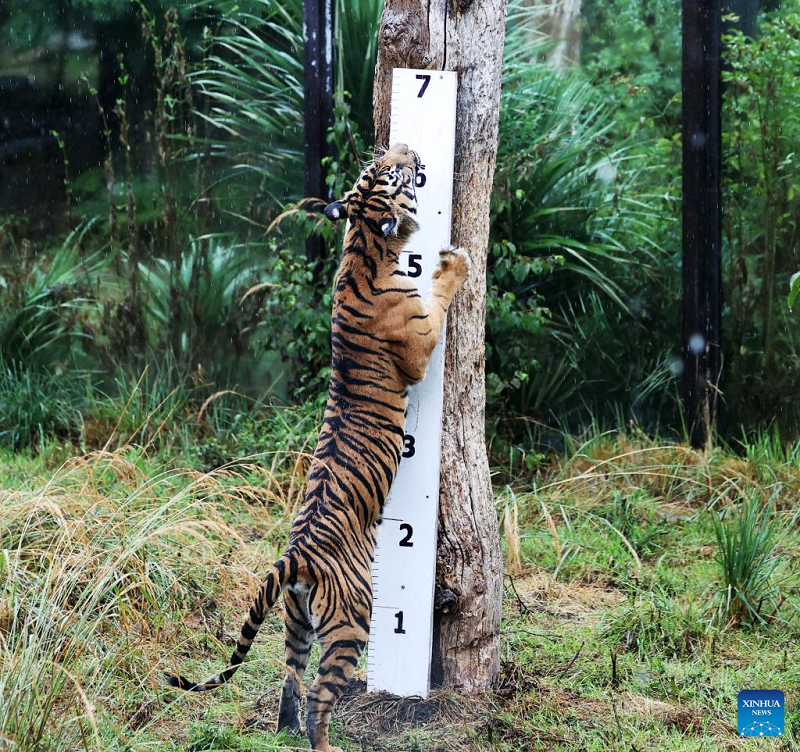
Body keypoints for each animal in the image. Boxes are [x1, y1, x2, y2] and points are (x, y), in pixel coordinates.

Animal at [166, 142, 472, 752]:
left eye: (380, 165)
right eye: (397, 172)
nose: (405, 147)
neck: (362, 244)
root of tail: (295, 555)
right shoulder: (422, 343)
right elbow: (440, 294)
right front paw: (453, 263)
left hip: (295, 619)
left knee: (290, 677)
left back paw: (285, 731)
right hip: (353, 621)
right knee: (319, 698)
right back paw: (324, 743)